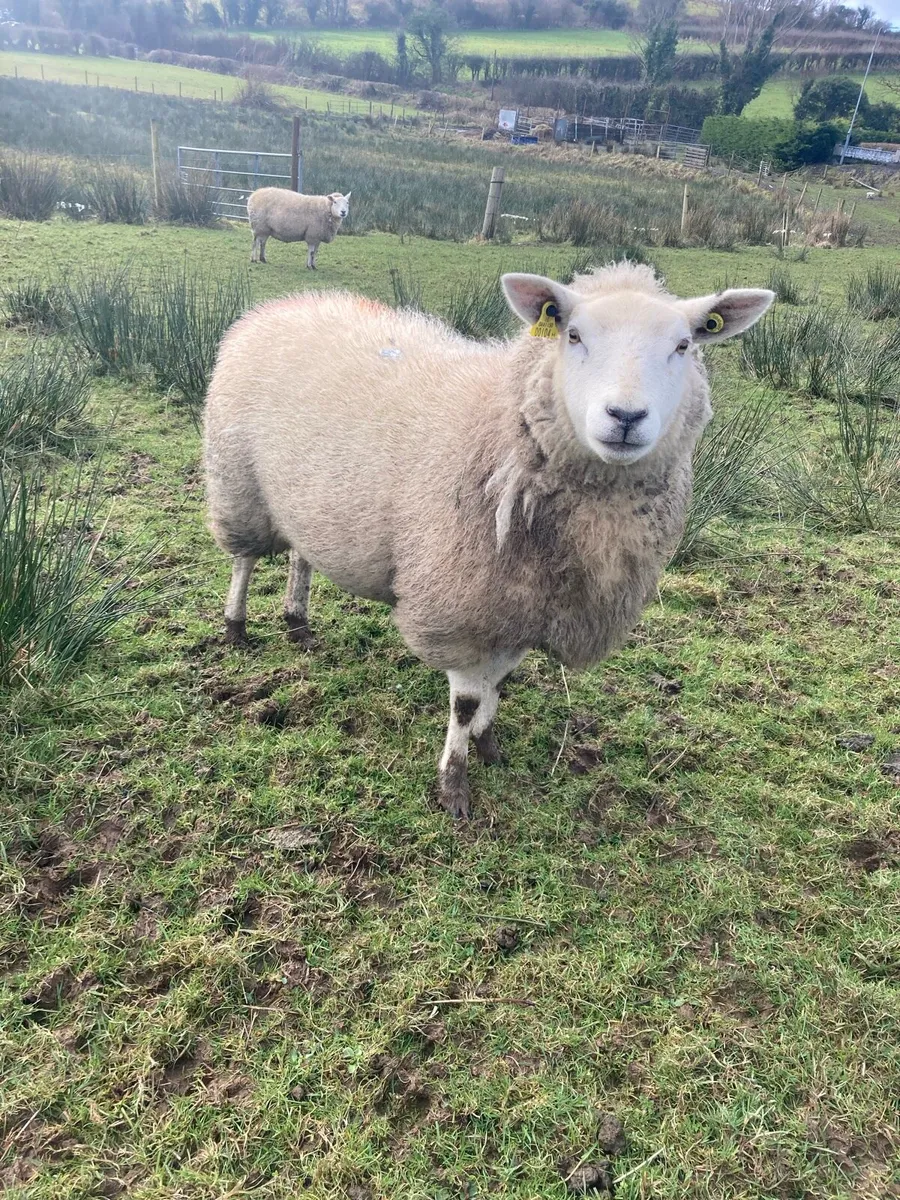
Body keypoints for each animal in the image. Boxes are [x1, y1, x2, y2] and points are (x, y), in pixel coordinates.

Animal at [203, 262, 773, 818]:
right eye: (572, 334)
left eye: (684, 344)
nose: (626, 417)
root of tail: (286, 303)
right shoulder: (462, 606)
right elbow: (467, 702)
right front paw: (454, 785)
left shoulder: (522, 604)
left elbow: (498, 685)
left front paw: (489, 746)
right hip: (239, 481)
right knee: (244, 560)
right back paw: (236, 627)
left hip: (303, 497)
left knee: (301, 555)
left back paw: (297, 622)